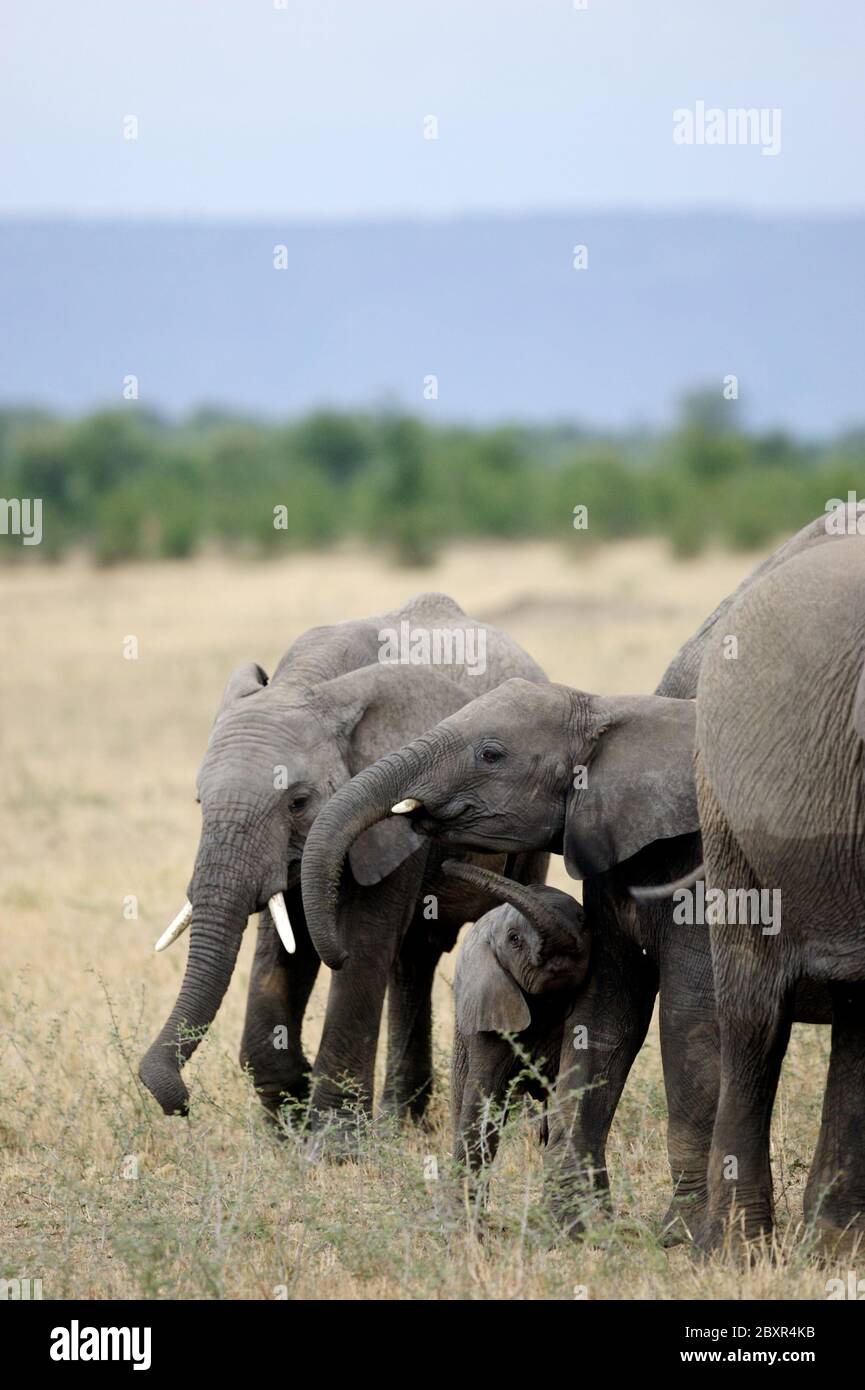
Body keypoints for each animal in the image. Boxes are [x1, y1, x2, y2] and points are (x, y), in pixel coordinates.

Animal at [138, 591, 548, 1131]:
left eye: (297, 803)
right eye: (200, 803)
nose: (180, 1104)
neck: (308, 684)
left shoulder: (389, 814)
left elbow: (364, 943)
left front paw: (330, 1140)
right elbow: (282, 948)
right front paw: (288, 1117)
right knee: (414, 957)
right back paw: (401, 1122)